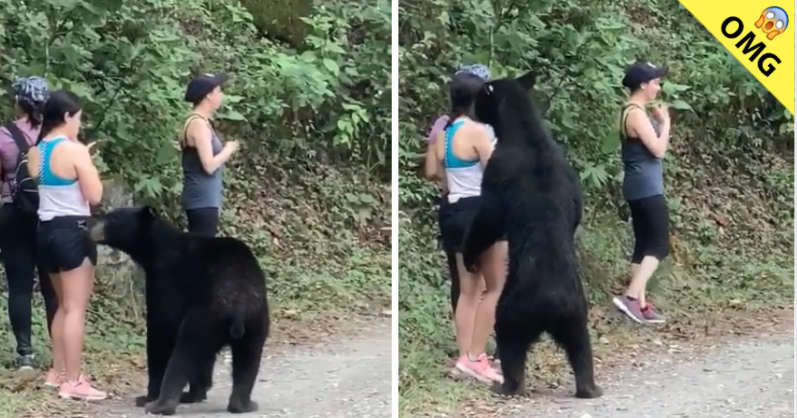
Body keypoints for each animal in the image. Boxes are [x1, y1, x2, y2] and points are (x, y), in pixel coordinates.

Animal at [86, 206, 268, 414]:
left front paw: (148, 395)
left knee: (184, 354)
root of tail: (238, 304)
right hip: (256, 321)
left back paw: (160, 404)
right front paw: (196, 393)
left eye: (112, 219)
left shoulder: (167, 281)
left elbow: (161, 330)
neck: (157, 250)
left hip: (206, 316)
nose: (88, 226)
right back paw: (243, 404)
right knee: (248, 359)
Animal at [458, 71, 600, 398]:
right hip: (577, 313)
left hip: (512, 309)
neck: (523, 130)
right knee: (581, 348)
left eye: (481, 97)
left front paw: (470, 253)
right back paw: (589, 387)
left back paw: (507, 385)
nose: (473, 108)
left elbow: (488, 218)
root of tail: (552, 304)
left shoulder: (498, 169)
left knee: (510, 342)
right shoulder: (569, 174)